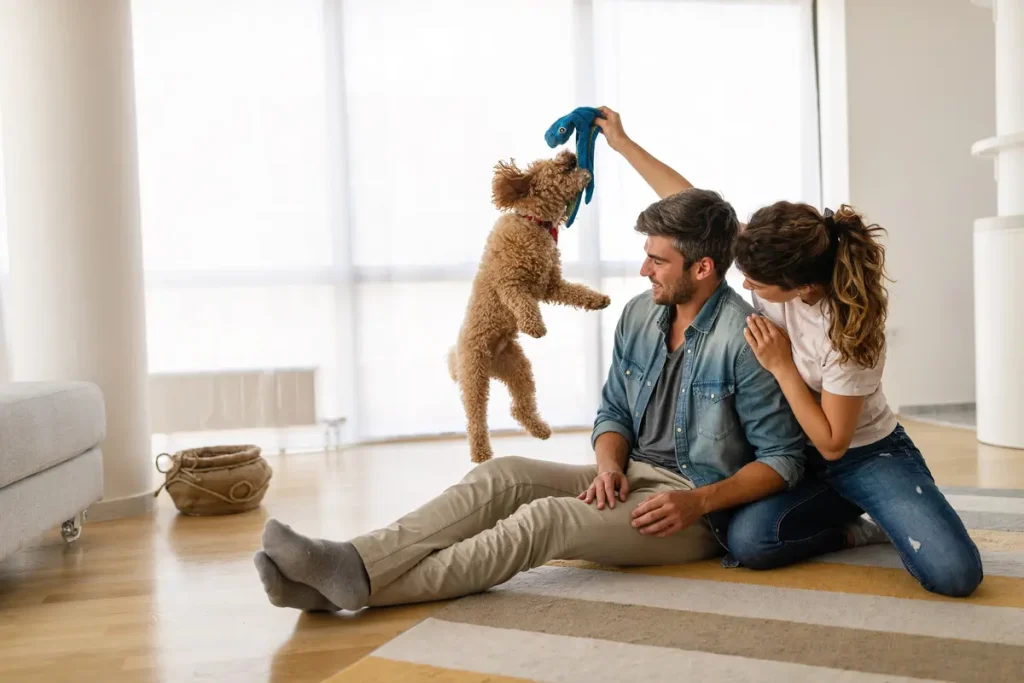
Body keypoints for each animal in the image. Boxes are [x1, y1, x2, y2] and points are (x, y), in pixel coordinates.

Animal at [446, 150, 606, 464]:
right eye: (552, 165)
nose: (570, 155)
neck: (533, 222)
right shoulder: (510, 283)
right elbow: (522, 303)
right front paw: (535, 327)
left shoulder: (550, 285)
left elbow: (576, 292)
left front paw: (597, 300)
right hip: (474, 374)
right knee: (475, 419)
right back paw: (481, 454)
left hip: (518, 368)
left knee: (519, 407)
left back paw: (540, 429)